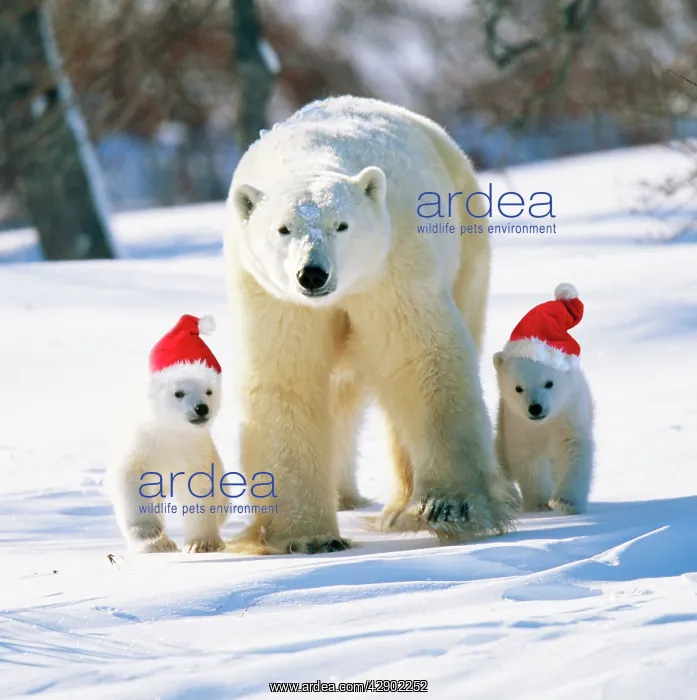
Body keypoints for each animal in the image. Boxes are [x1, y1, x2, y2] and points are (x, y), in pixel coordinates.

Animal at [107, 315, 230, 553]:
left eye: (209, 391)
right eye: (178, 393)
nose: (201, 408)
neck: (170, 432)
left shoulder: (195, 452)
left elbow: (199, 489)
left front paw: (202, 543)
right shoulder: (141, 447)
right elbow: (130, 480)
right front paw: (148, 533)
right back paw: (160, 545)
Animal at [223, 95, 515, 555]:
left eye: (341, 225)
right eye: (283, 228)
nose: (312, 274)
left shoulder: (392, 267)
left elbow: (421, 358)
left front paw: (451, 507)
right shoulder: (272, 297)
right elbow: (288, 379)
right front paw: (307, 537)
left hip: (468, 244)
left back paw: (400, 507)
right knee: (340, 396)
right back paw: (345, 496)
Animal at [493, 283, 594, 515]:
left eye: (549, 383)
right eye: (518, 388)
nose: (535, 408)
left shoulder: (570, 413)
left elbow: (573, 450)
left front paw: (565, 502)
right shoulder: (517, 424)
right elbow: (528, 460)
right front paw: (539, 503)